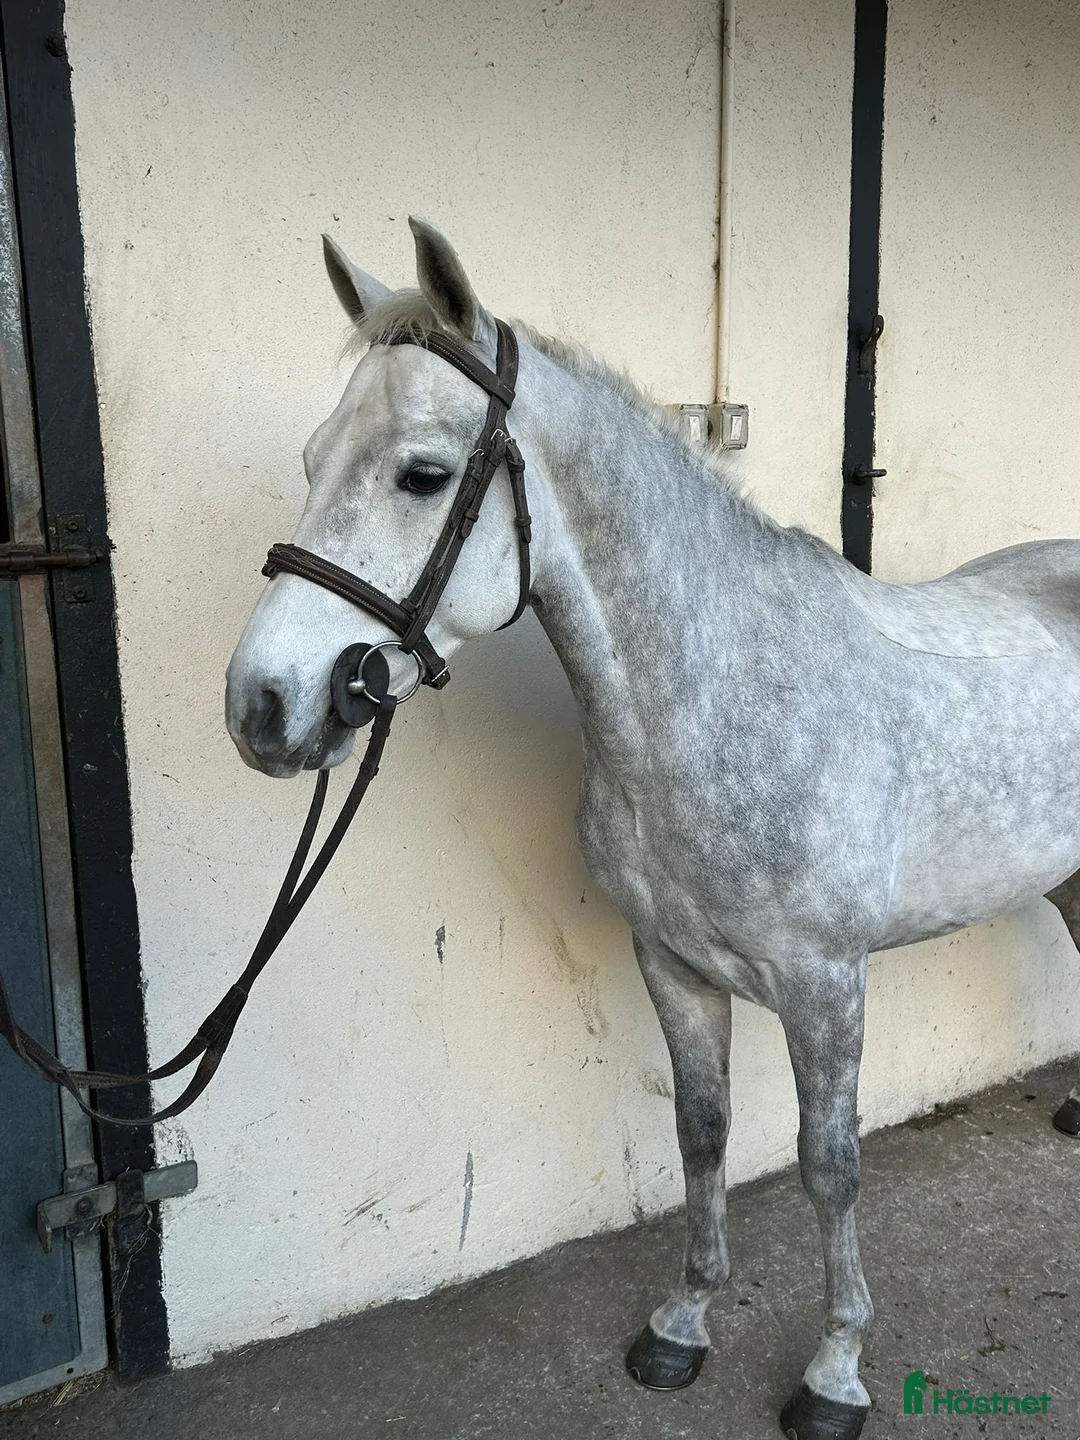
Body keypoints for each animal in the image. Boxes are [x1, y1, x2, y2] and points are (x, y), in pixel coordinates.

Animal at [225, 218, 1080, 1440]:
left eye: (421, 474)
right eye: (309, 460)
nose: (263, 707)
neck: (716, 698)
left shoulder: (827, 982)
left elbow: (829, 1166)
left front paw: (835, 1372)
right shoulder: (670, 963)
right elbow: (702, 1133)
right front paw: (683, 1326)